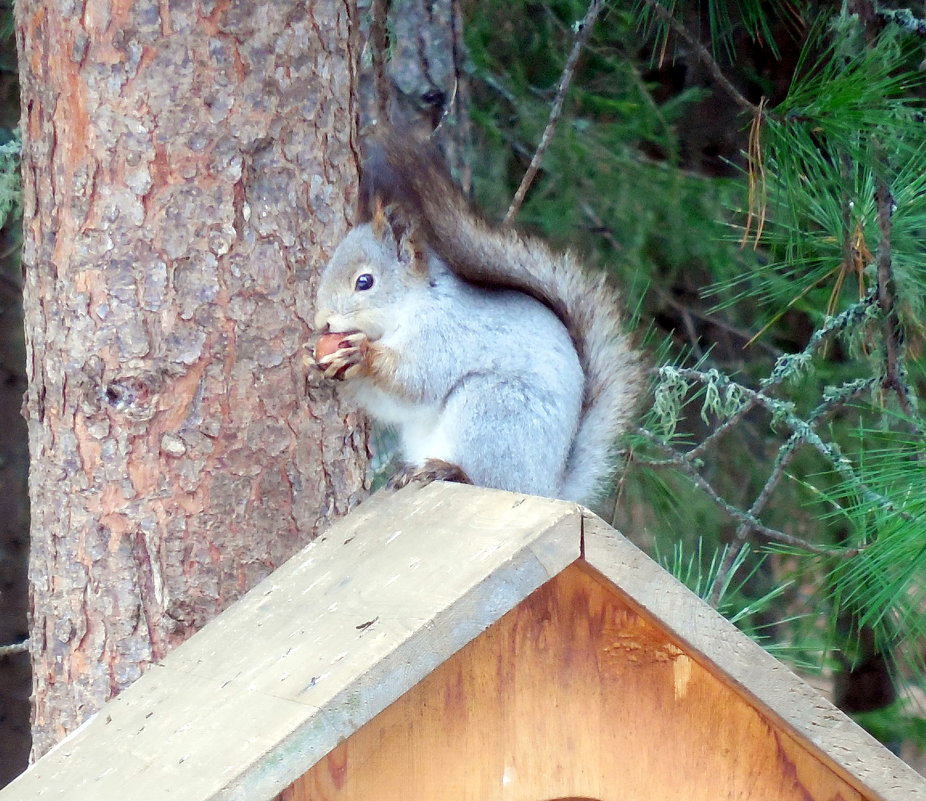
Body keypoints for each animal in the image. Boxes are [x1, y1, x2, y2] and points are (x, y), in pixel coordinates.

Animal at [316, 132, 640, 504]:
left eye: (364, 282)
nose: (322, 323)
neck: (413, 304)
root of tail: (549, 489)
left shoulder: (444, 335)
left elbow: (415, 382)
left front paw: (361, 354)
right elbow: (391, 404)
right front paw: (320, 363)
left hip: (492, 410)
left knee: (485, 477)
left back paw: (449, 471)